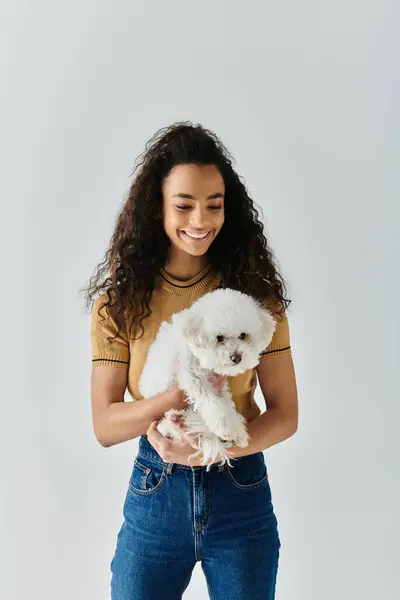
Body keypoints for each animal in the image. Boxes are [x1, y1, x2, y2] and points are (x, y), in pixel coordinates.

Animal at [139, 288, 276, 472]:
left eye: (243, 335)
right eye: (219, 338)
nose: (236, 357)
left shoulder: (218, 386)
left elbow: (225, 405)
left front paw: (237, 430)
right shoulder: (193, 376)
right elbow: (213, 405)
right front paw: (225, 428)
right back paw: (175, 418)